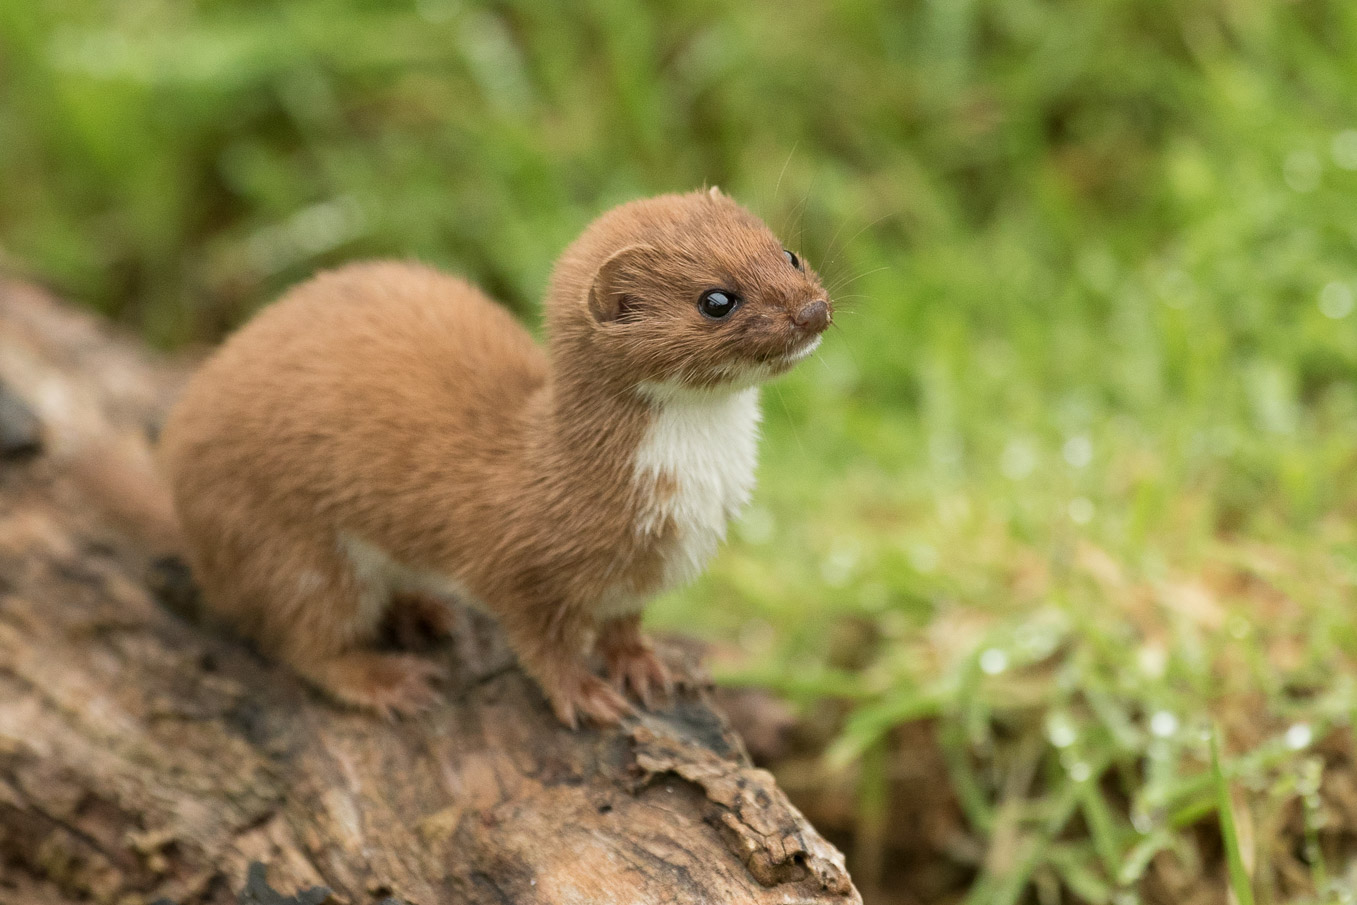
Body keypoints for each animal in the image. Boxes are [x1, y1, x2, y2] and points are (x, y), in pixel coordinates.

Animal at [160, 187, 835, 727]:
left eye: (786, 253)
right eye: (716, 300)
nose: (814, 310)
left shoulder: (638, 576)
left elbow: (624, 621)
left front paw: (644, 666)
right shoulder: (524, 566)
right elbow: (542, 645)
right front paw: (586, 695)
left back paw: (422, 610)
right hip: (293, 549)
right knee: (301, 638)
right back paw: (387, 679)